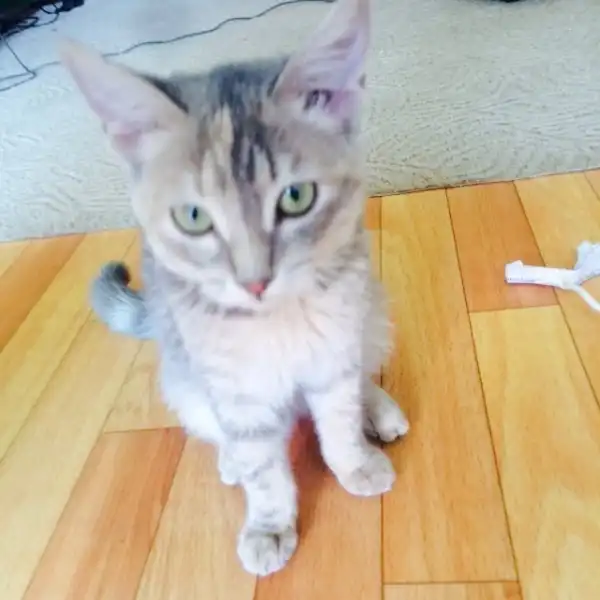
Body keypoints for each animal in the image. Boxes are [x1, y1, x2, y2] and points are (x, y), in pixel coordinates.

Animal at [60, 0, 409, 576]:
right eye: (194, 217)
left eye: (296, 197)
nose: (255, 281)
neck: (275, 324)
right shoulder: (234, 389)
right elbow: (262, 464)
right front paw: (269, 524)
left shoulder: (335, 343)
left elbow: (339, 410)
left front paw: (354, 461)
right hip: (183, 379)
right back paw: (229, 460)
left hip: (372, 309)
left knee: (362, 371)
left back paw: (378, 410)